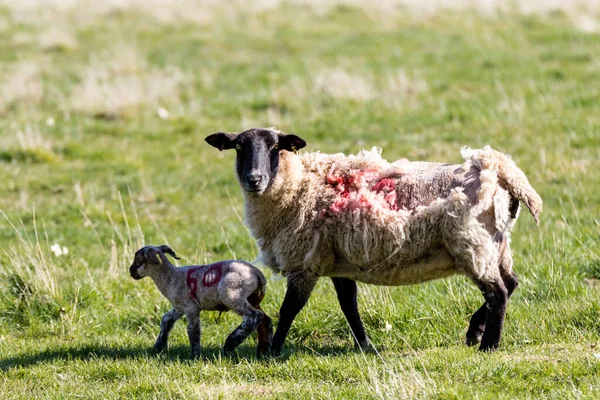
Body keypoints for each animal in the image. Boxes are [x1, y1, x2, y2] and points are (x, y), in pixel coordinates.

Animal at [131, 245, 274, 358]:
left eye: (138, 260)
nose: (130, 272)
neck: (170, 276)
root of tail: (258, 274)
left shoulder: (191, 308)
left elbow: (193, 331)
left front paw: (195, 356)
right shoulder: (179, 308)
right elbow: (166, 320)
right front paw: (159, 346)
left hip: (232, 294)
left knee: (255, 316)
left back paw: (231, 343)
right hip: (252, 298)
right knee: (265, 320)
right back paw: (264, 351)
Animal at [204, 127, 540, 354]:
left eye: (276, 146)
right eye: (238, 146)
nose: (254, 179)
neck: (299, 186)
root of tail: (500, 170)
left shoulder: (305, 264)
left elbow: (289, 310)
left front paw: (273, 350)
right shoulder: (338, 261)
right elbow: (349, 306)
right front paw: (365, 345)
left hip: (473, 244)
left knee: (498, 293)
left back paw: (489, 345)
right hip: (496, 246)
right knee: (511, 283)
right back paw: (475, 331)